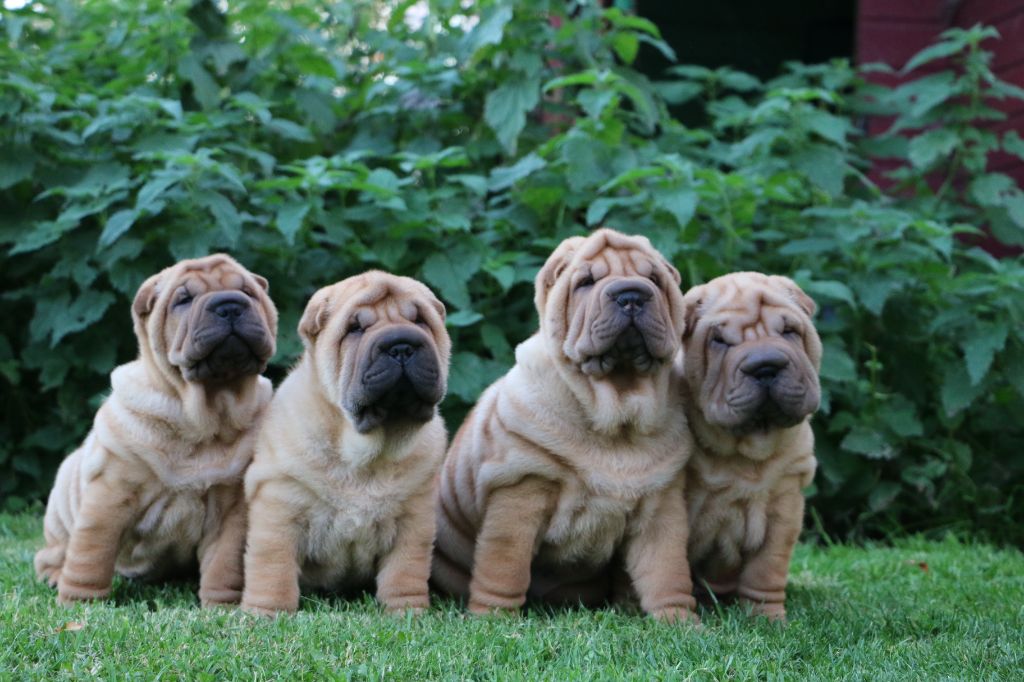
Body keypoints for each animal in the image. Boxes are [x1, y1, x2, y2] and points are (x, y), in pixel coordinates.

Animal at [34, 251, 278, 602]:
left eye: (248, 292)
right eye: (184, 300)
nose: (230, 305)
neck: (203, 414)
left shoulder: (231, 510)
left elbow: (223, 561)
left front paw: (221, 604)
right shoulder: (110, 494)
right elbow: (91, 552)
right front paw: (80, 600)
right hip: (61, 512)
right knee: (53, 554)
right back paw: (55, 577)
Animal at [241, 270, 450, 614]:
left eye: (420, 321)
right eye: (355, 328)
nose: (401, 345)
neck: (366, 451)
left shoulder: (414, 519)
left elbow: (405, 571)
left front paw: (407, 612)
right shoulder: (280, 506)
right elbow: (272, 568)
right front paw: (266, 612)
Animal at [428, 228, 700, 622]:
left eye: (654, 279)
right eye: (586, 282)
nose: (631, 294)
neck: (617, 410)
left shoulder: (660, 506)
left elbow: (667, 570)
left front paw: (679, 621)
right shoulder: (520, 490)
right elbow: (504, 564)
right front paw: (493, 617)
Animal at [679, 272, 823, 622]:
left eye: (789, 331)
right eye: (718, 341)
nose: (766, 365)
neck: (745, 450)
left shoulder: (784, 506)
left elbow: (766, 570)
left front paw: (768, 618)